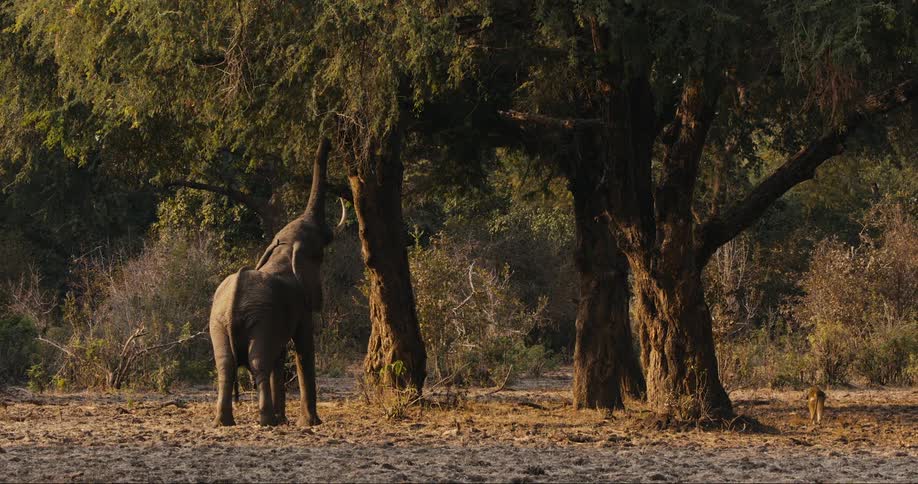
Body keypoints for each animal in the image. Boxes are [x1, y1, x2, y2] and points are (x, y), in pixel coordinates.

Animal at [208, 138, 343, 427]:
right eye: (321, 253)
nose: (327, 140)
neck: (284, 249)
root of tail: (233, 304)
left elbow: (280, 355)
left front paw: (286, 420)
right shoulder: (301, 303)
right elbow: (303, 347)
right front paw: (310, 423)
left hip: (220, 323)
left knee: (225, 365)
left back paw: (225, 422)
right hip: (258, 318)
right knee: (258, 362)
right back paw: (266, 420)